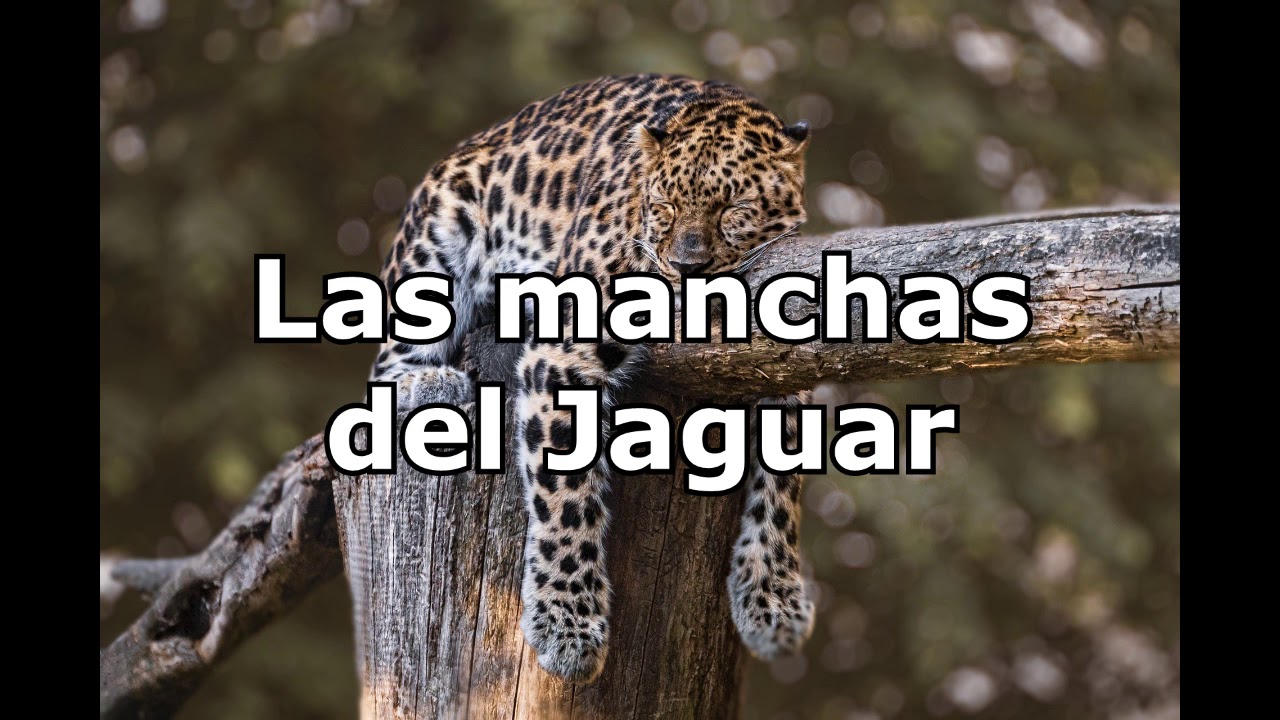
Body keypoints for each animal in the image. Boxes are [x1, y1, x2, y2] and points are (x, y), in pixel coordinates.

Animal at [369, 74, 815, 683]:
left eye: (734, 209)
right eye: (664, 207)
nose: (686, 268)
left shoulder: (788, 367)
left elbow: (780, 492)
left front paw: (772, 600)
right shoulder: (565, 349)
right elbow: (565, 496)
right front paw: (567, 625)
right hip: (435, 240)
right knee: (386, 362)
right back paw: (428, 384)